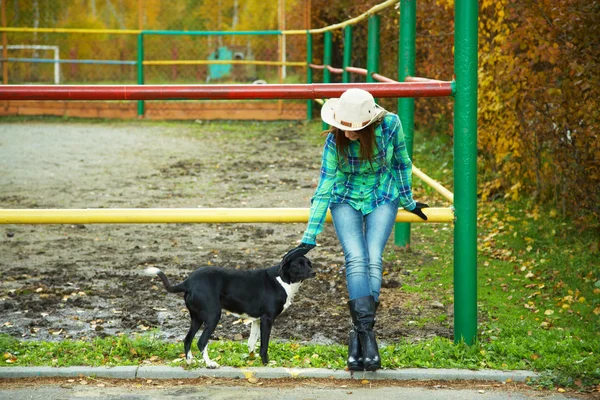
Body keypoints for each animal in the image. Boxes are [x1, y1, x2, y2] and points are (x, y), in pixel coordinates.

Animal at [145, 256, 314, 368]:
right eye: (298, 266)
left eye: (309, 264)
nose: (314, 273)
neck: (283, 280)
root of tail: (188, 281)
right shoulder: (267, 319)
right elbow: (264, 346)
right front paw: (266, 363)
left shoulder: (257, 320)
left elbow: (251, 342)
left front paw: (252, 359)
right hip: (213, 316)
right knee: (201, 341)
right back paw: (210, 364)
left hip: (197, 318)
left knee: (187, 339)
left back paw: (189, 361)